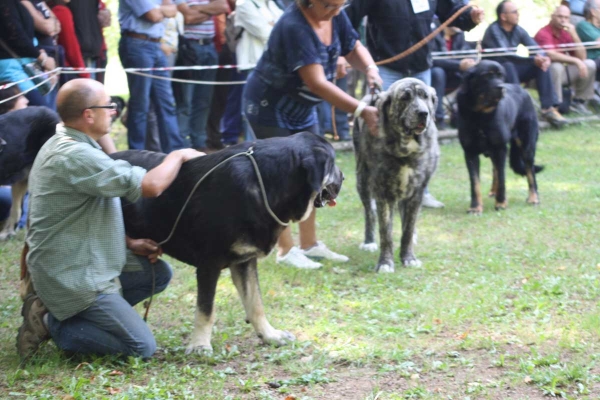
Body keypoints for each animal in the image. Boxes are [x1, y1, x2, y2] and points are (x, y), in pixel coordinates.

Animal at [111, 132, 342, 354]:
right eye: (333, 163)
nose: (343, 176)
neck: (267, 183)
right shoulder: (209, 264)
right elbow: (206, 310)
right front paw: (200, 345)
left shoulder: (245, 261)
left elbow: (256, 303)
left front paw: (270, 335)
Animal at [352, 78, 440, 272]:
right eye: (405, 98)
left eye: (425, 97)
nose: (423, 113)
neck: (407, 148)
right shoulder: (383, 192)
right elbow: (386, 233)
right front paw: (385, 262)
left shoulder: (416, 192)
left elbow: (407, 229)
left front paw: (408, 257)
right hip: (362, 180)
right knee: (370, 213)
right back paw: (369, 241)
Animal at [458, 59, 540, 214]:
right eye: (486, 75)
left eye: (501, 75)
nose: (501, 87)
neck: (480, 115)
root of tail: (523, 89)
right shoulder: (470, 152)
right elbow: (474, 182)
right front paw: (475, 207)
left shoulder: (500, 148)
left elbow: (502, 177)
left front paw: (501, 203)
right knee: (495, 169)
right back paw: (493, 191)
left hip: (526, 144)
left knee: (530, 171)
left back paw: (534, 197)